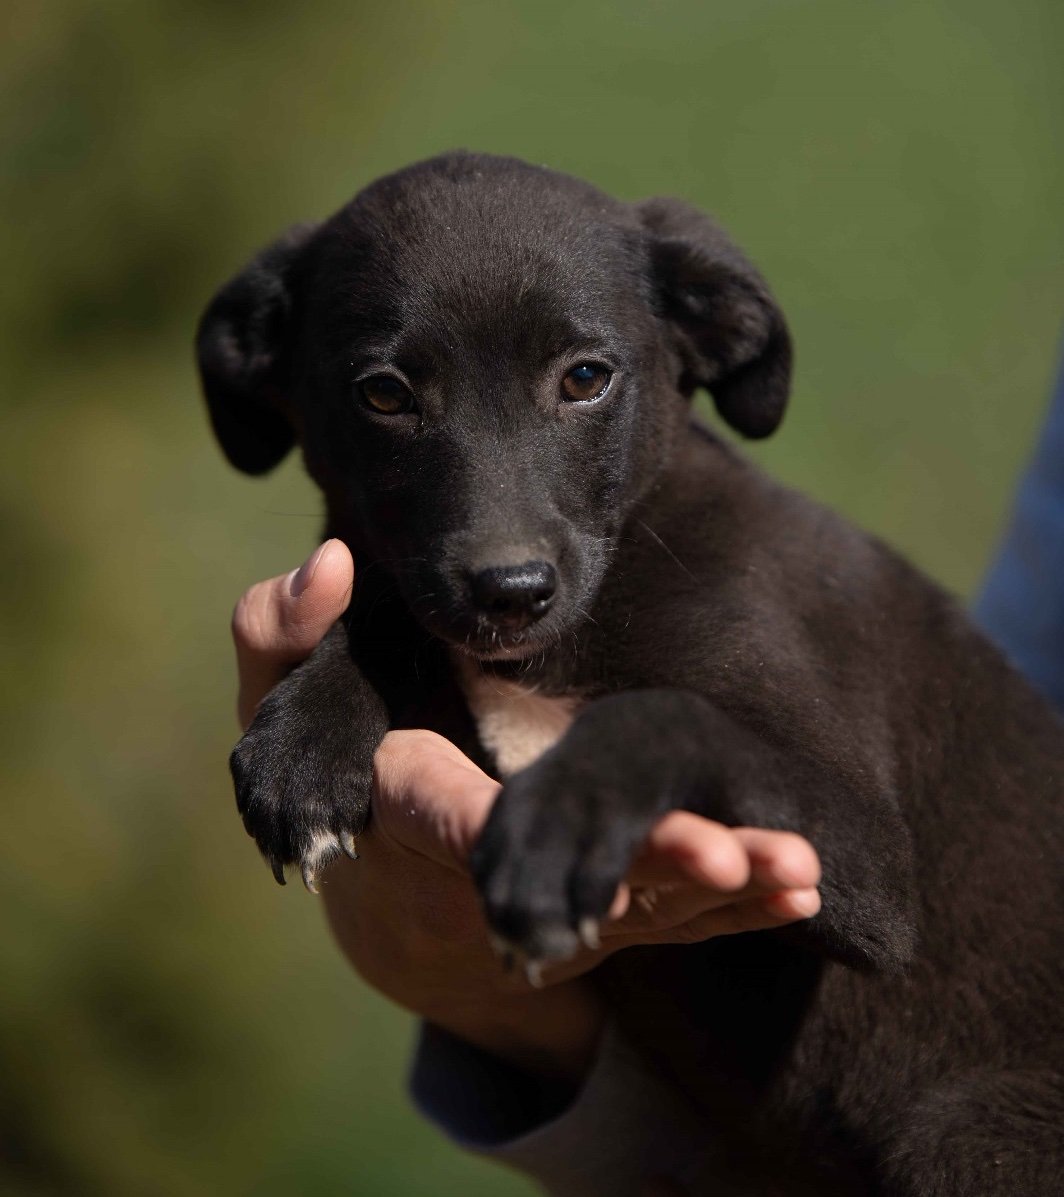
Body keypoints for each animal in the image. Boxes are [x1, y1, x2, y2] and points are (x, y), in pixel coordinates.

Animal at [197, 152, 1064, 1194]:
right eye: (385, 395)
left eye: (585, 378)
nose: (510, 591)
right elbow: (387, 608)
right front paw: (308, 739)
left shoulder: (867, 849)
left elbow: (657, 713)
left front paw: (560, 825)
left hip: (969, 1130)